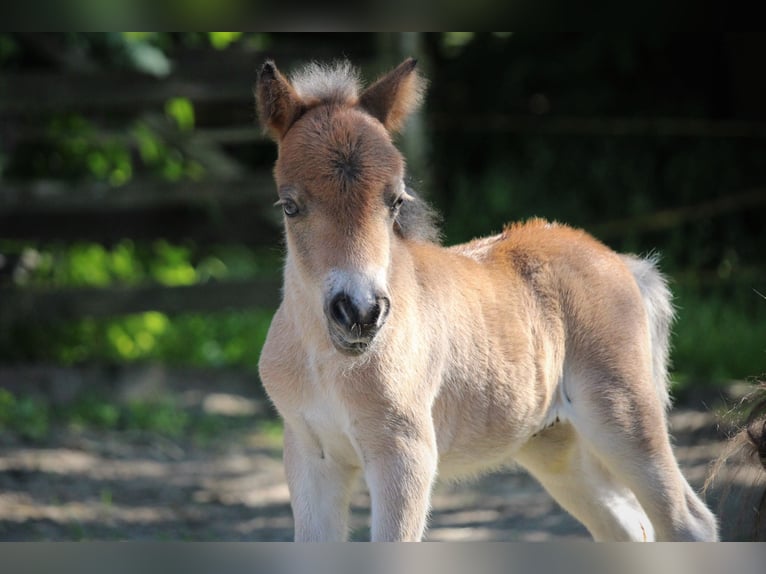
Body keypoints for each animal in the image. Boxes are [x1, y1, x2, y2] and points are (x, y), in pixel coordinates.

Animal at [258, 59, 720, 544]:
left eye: (396, 200)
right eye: (289, 205)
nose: (361, 313)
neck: (325, 363)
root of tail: (620, 262)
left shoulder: (403, 455)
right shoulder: (311, 457)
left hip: (624, 417)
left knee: (688, 522)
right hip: (555, 447)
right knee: (629, 528)